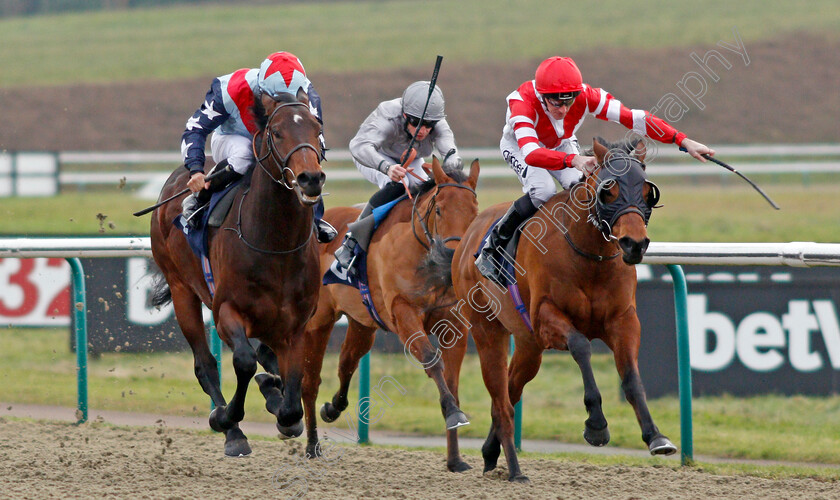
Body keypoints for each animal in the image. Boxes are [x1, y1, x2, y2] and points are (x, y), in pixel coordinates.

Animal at [149, 90, 324, 458]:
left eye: (317, 130)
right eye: (276, 132)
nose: (310, 178)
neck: (276, 245)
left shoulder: (296, 323)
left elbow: (293, 395)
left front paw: (281, 405)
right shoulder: (226, 310)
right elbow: (243, 361)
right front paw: (226, 418)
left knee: (266, 358)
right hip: (181, 289)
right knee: (205, 364)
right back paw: (232, 431)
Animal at [302, 158, 480, 470]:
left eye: (474, 211)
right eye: (439, 209)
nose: (452, 257)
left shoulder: (453, 322)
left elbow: (453, 381)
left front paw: (455, 458)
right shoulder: (403, 313)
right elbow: (431, 360)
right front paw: (453, 412)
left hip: (362, 323)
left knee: (347, 362)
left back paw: (333, 408)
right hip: (318, 320)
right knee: (310, 381)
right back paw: (312, 445)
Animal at [450, 139, 672, 482]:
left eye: (648, 191)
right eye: (608, 190)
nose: (634, 244)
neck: (590, 256)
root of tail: (470, 234)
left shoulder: (623, 321)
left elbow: (632, 378)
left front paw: (655, 435)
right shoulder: (546, 317)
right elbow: (581, 346)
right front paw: (596, 425)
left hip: (528, 345)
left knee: (512, 388)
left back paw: (490, 452)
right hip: (487, 330)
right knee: (501, 398)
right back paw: (514, 469)